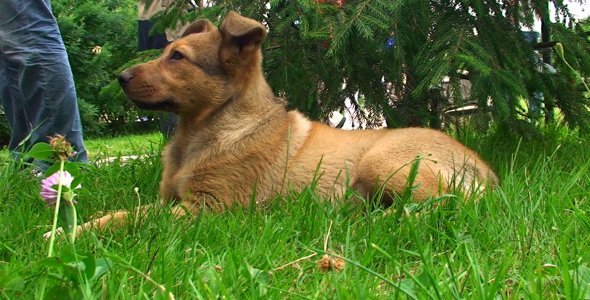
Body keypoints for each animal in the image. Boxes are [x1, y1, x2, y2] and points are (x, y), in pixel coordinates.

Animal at [75, 10, 500, 232]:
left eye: (177, 57)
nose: (120, 77)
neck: (204, 130)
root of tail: (483, 168)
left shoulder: (208, 209)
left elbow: (134, 219)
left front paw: (69, 234)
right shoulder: (173, 201)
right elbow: (118, 214)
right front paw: (78, 223)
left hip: (386, 162)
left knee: (451, 205)